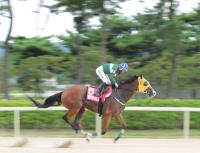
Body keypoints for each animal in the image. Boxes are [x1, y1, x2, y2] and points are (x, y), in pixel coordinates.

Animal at [27, 75, 157, 142]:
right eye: (146, 83)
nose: (154, 92)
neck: (119, 93)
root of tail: (64, 91)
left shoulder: (117, 114)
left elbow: (124, 125)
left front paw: (116, 138)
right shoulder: (107, 114)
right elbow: (103, 131)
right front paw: (94, 135)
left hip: (81, 109)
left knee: (77, 121)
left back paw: (84, 135)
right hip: (75, 107)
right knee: (66, 118)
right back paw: (78, 131)